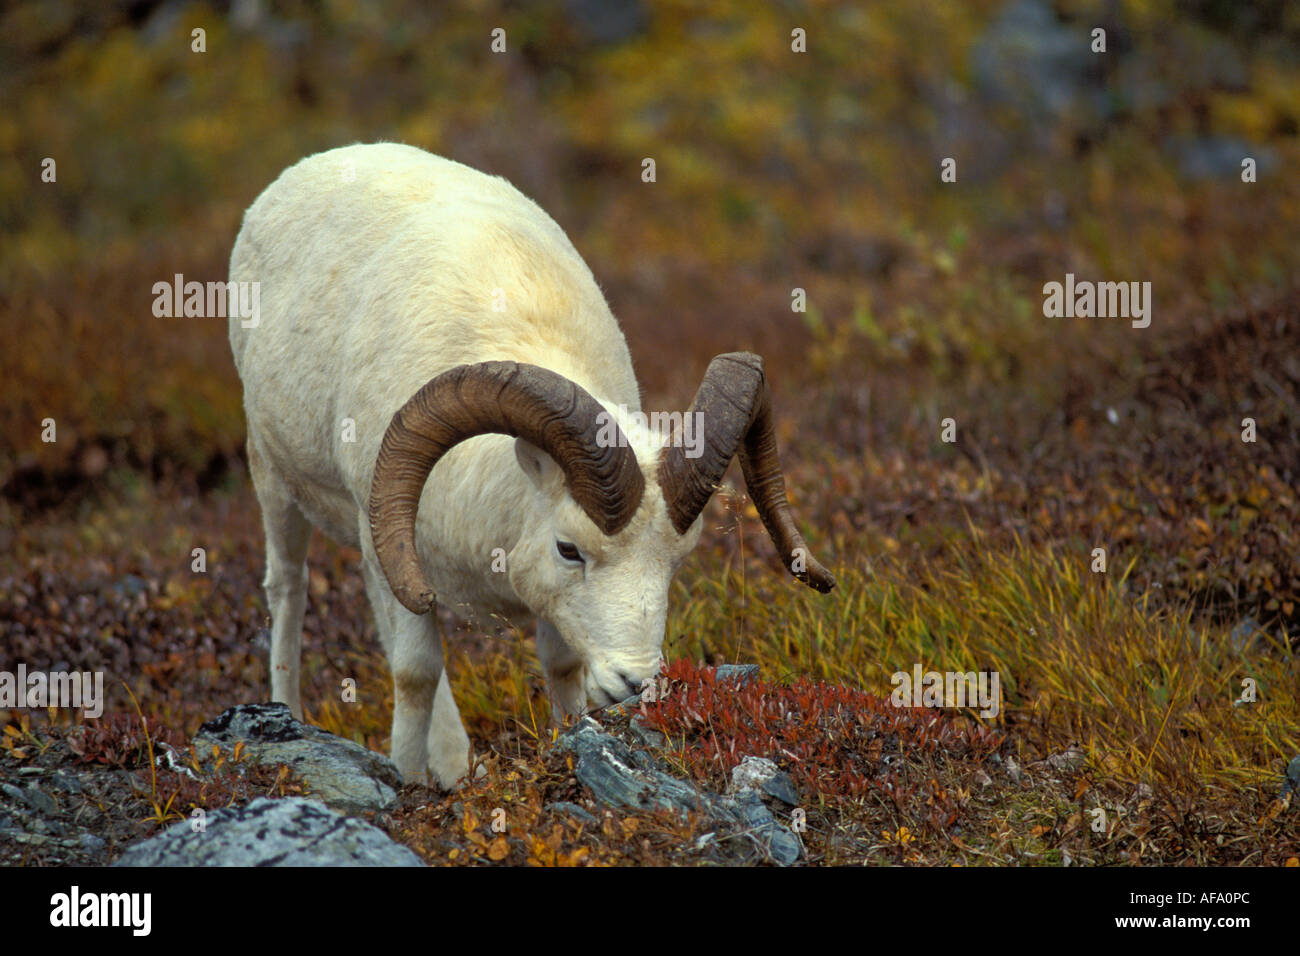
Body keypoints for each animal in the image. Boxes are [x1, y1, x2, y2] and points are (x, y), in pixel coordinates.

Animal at [227, 142, 835, 787]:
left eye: (677, 558)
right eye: (570, 549)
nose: (634, 683)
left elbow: (560, 665)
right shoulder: (391, 547)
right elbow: (415, 673)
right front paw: (409, 784)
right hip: (276, 483)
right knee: (288, 588)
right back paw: (289, 712)